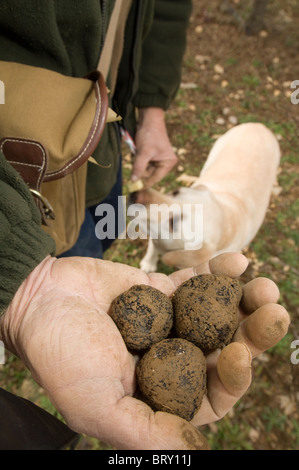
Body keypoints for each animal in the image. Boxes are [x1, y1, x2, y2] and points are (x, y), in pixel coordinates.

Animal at [131, 123, 282, 274]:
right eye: (175, 192)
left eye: (173, 222)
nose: (137, 195)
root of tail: (259, 126)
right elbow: (153, 246)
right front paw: (148, 263)